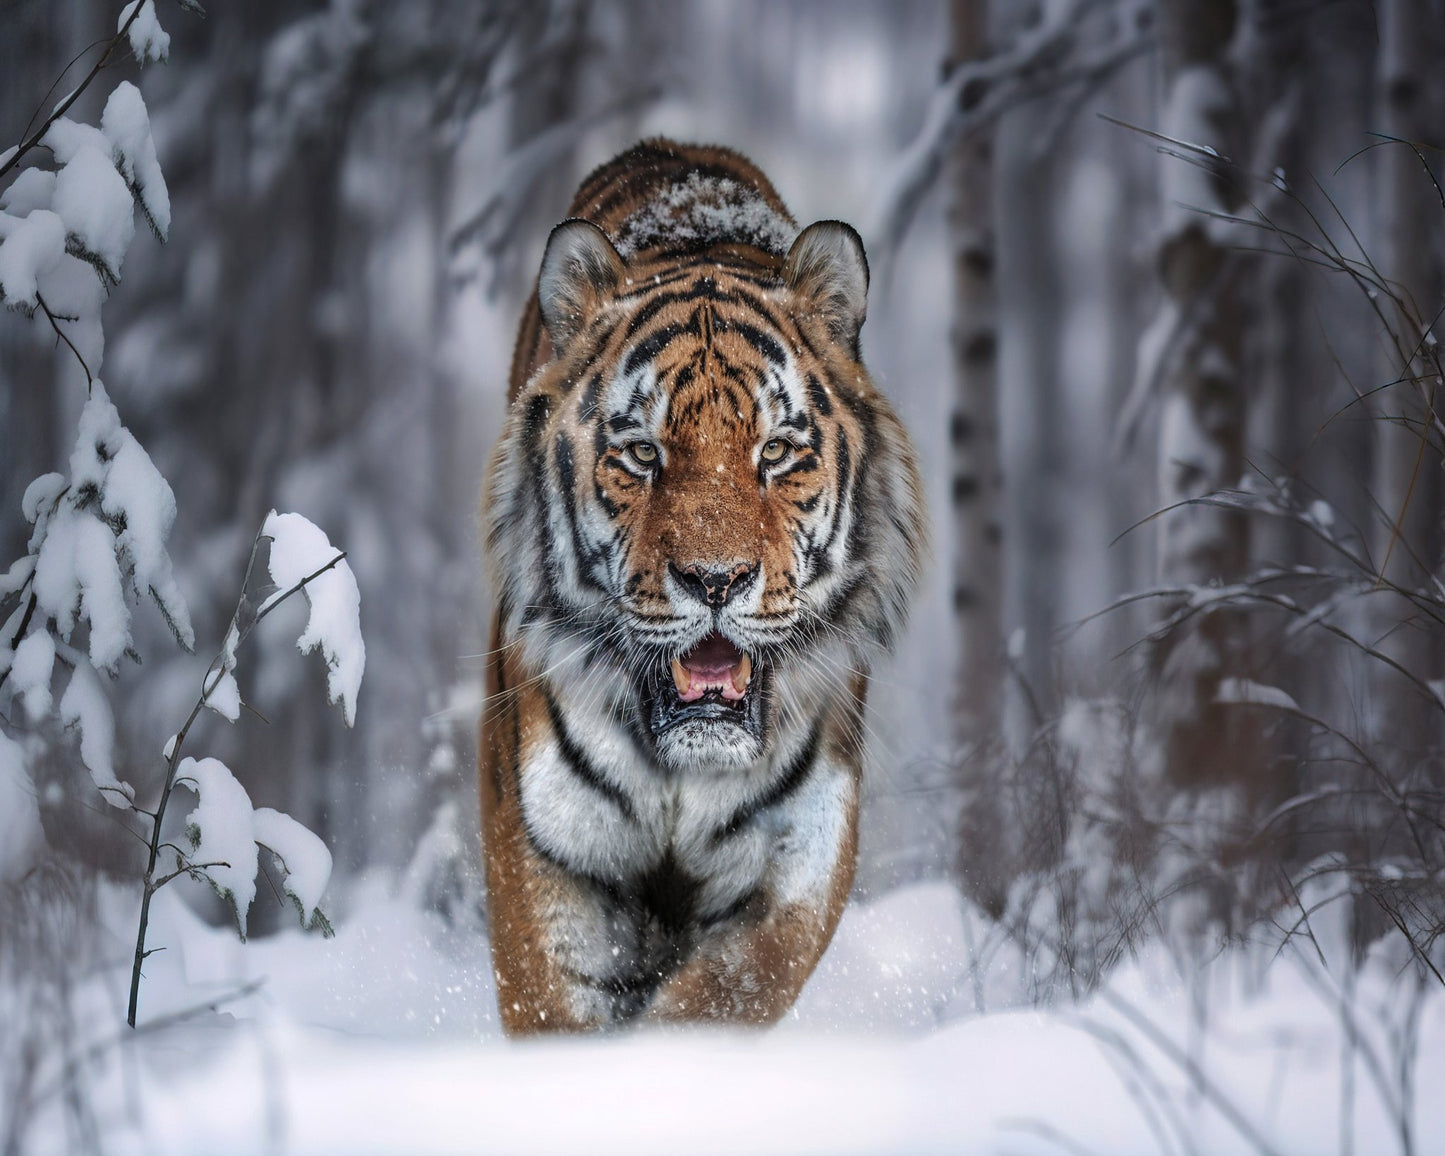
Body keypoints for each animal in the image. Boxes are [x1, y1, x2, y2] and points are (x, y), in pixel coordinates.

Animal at [480, 139, 925, 1035]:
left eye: (776, 452)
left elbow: (718, 1001)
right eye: (641, 454)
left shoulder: (796, 861)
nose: (714, 580)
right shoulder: (543, 849)